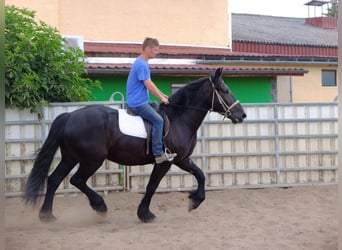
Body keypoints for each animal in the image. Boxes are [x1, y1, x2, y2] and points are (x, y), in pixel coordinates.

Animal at [24, 68, 246, 223]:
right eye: (225, 90)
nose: (242, 114)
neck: (178, 118)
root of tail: (70, 116)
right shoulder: (165, 162)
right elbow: (152, 186)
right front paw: (145, 214)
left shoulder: (181, 159)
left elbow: (200, 174)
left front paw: (195, 200)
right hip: (91, 160)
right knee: (77, 180)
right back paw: (100, 206)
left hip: (71, 157)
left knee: (54, 180)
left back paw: (47, 215)